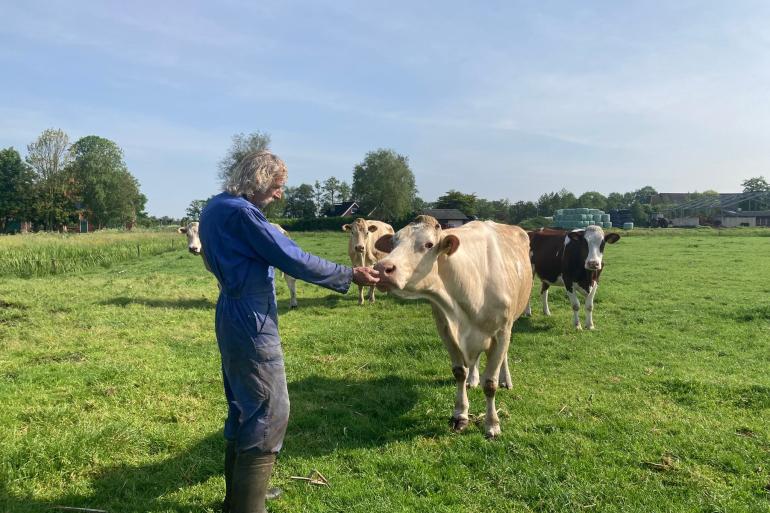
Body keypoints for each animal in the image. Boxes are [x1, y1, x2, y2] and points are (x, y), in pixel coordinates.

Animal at [370, 215, 528, 436]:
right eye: (393, 242)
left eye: (428, 244)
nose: (381, 269)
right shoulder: (446, 330)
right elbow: (459, 372)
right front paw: (460, 415)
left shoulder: (501, 332)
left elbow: (490, 383)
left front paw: (492, 424)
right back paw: (473, 379)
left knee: (502, 358)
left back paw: (506, 380)